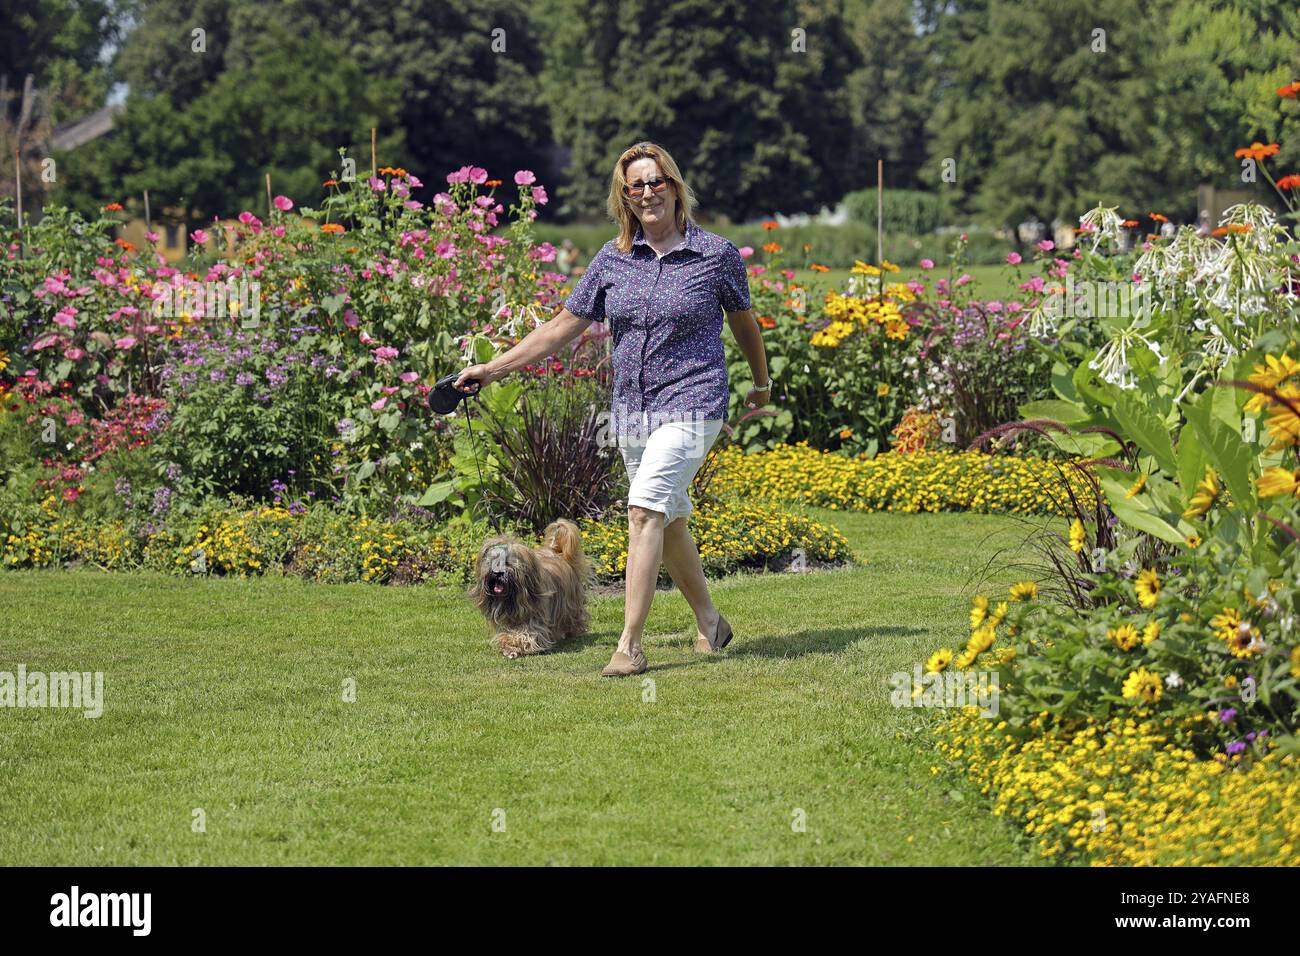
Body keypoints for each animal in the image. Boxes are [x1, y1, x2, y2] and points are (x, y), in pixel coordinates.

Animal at [467, 515, 595, 658]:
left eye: (508, 563)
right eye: (493, 561)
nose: (497, 573)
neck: (512, 599)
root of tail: (557, 554)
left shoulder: (534, 619)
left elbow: (525, 635)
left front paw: (510, 643)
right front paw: (507, 643)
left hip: (571, 604)